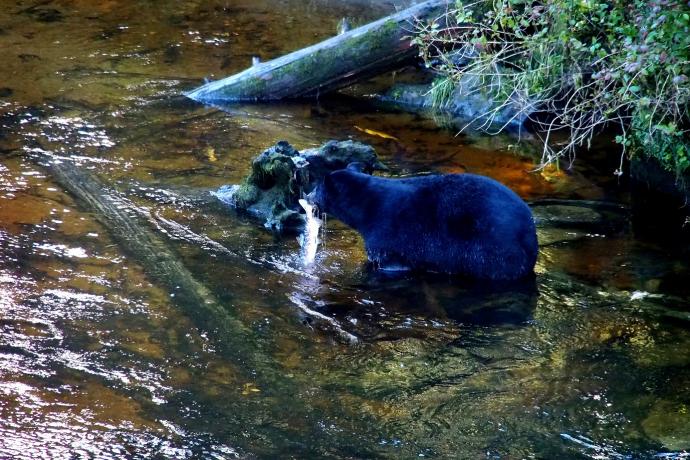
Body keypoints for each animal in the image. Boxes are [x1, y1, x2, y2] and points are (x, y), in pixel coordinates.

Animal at [308, 165, 536, 280]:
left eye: (317, 188)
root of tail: (530, 234)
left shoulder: (386, 232)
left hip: (494, 248)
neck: (366, 206)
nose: (307, 197)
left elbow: (390, 261)